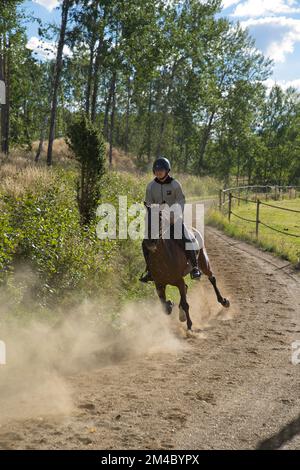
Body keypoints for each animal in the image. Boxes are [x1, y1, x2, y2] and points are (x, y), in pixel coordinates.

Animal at [143, 202, 230, 330]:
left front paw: (189, 325)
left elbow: (185, 304)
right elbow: (165, 308)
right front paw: (171, 305)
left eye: (159, 218)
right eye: (145, 218)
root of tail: (193, 229)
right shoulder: (158, 284)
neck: (162, 259)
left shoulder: (179, 280)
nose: (150, 242)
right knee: (187, 287)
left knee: (212, 278)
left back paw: (223, 301)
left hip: (203, 262)